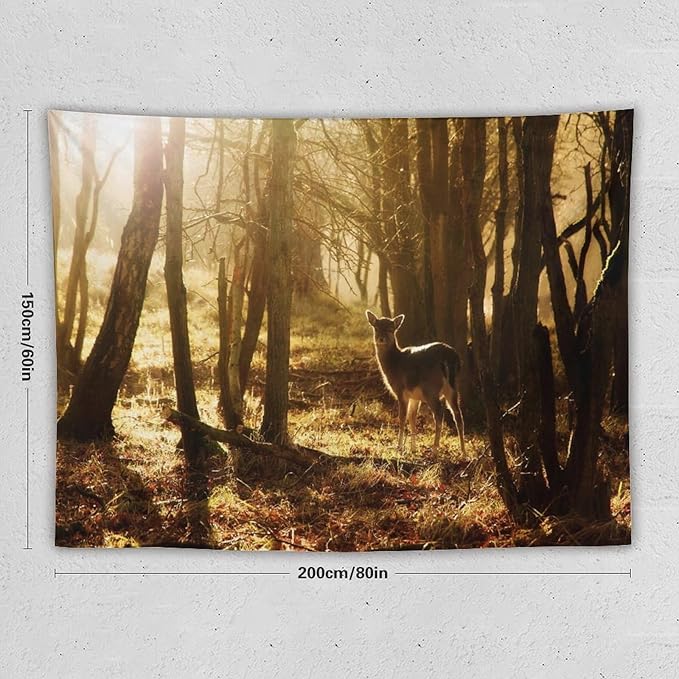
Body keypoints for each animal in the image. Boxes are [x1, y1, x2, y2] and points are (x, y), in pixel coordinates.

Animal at [365, 310, 465, 455]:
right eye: (376, 328)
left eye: (390, 329)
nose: (381, 339)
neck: (394, 364)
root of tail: (450, 357)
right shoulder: (414, 396)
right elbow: (412, 418)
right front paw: (413, 448)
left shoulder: (401, 391)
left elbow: (402, 418)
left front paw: (399, 447)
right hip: (453, 387)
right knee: (458, 415)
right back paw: (463, 452)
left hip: (431, 389)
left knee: (439, 414)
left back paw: (435, 449)